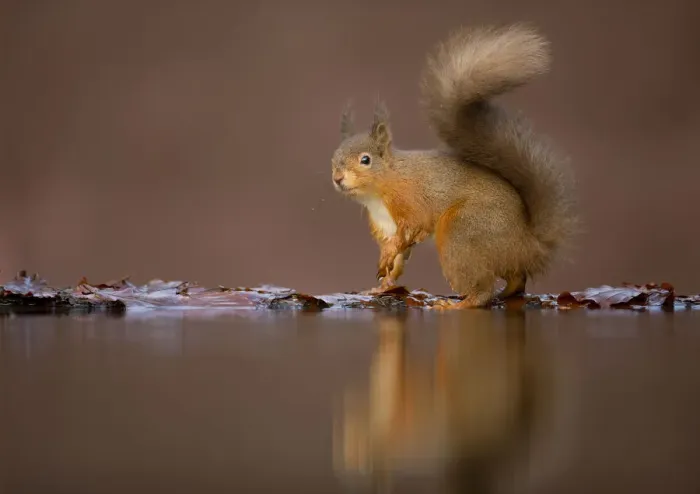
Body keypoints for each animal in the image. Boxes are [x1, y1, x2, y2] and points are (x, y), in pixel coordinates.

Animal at [330, 24, 577, 308]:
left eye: (366, 160)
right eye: (332, 158)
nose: (338, 178)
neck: (381, 190)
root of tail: (529, 244)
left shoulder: (411, 202)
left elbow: (411, 229)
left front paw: (388, 260)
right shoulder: (385, 225)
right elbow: (400, 256)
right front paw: (383, 283)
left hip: (460, 233)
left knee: (483, 290)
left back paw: (458, 304)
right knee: (516, 280)